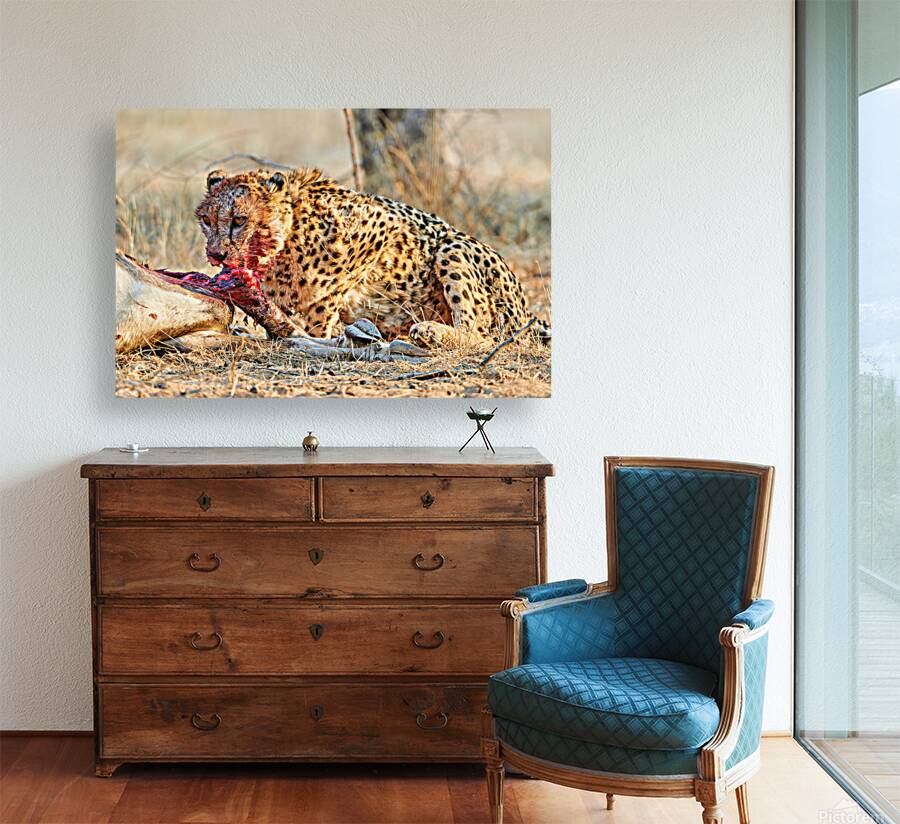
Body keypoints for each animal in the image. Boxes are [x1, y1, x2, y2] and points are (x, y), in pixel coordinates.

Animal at [194, 167, 550, 348]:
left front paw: (317, 333)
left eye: (239, 220)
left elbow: (327, 294)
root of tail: (526, 311)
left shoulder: (384, 225)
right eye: (207, 220)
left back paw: (429, 331)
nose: (215, 253)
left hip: (454, 247)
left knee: (485, 337)